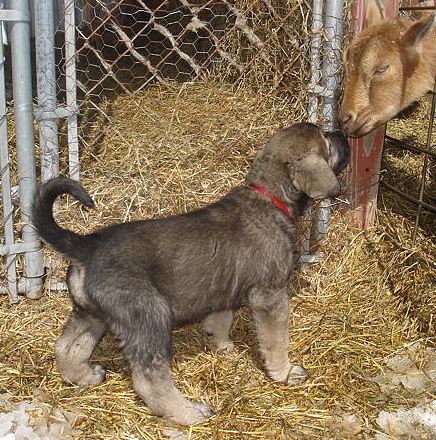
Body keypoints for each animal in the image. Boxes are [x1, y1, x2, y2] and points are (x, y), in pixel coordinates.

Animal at [32, 122, 350, 424]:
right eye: (327, 139)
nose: (345, 133)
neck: (270, 197)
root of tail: (87, 245)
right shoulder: (270, 296)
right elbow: (276, 342)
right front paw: (284, 372)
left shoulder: (222, 290)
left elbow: (220, 320)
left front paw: (221, 345)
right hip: (150, 317)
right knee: (149, 380)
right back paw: (188, 412)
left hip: (91, 314)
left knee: (67, 346)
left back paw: (84, 376)